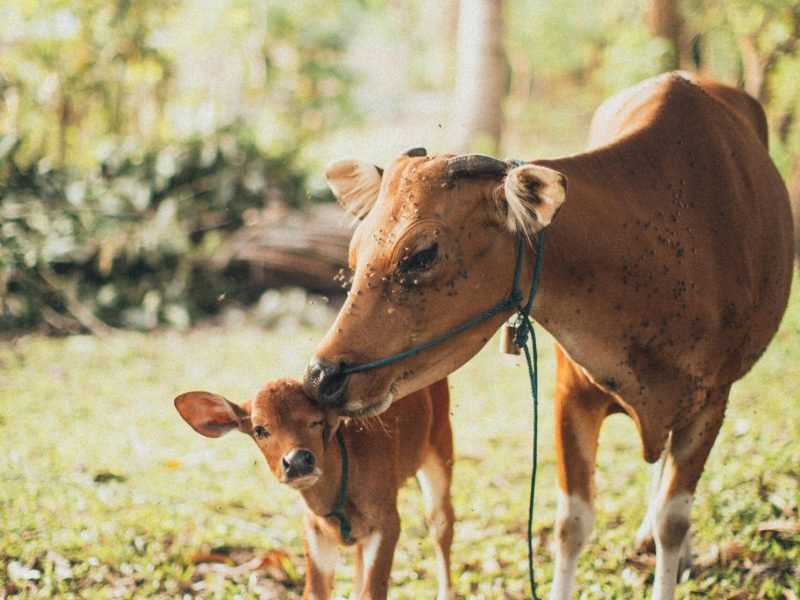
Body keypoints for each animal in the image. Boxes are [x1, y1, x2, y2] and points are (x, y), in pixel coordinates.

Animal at [174, 378, 455, 600]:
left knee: (440, 522)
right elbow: (315, 592)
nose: (298, 461)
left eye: (317, 422)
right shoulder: (314, 528)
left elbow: (373, 592)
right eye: (259, 429)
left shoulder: (387, 520)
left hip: (440, 445)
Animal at [302, 72, 794, 599]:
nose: (322, 375)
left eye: (421, 254)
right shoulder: (571, 393)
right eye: (354, 255)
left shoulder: (712, 401)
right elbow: (571, 524)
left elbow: (673, 521)